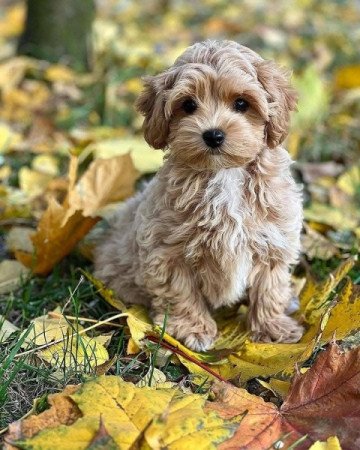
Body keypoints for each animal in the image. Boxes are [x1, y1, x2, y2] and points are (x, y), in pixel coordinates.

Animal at [94, 39, 302, 352]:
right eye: (188, 105)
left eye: (241, 103)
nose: (213, 135)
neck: (224, 174)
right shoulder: (166, 250)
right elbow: (180, 291)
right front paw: (192, 328)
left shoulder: (274, 240)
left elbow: (269, 287)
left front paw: (272, 327)